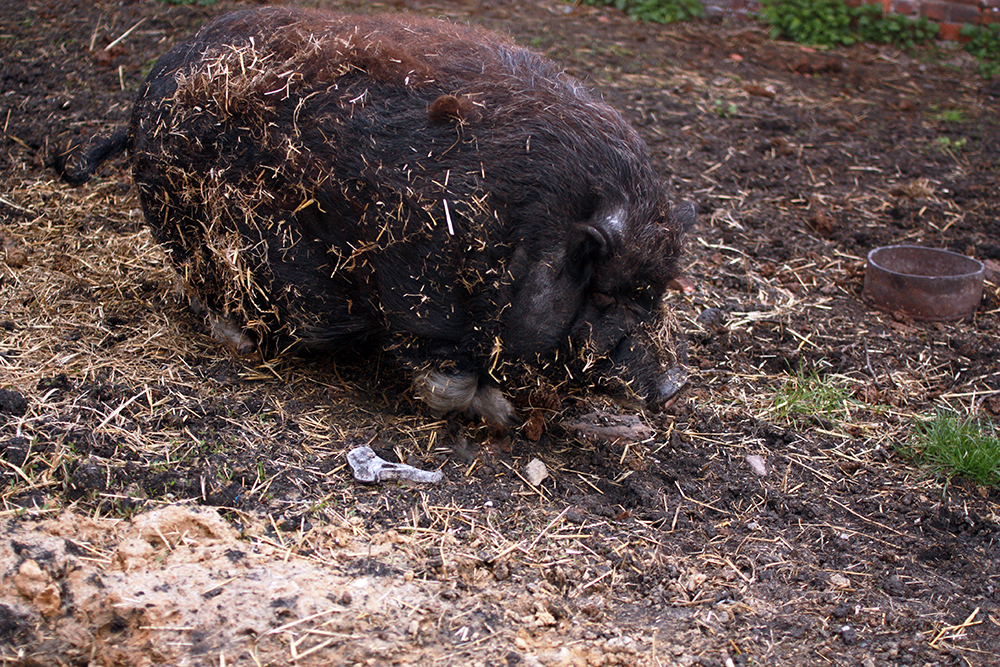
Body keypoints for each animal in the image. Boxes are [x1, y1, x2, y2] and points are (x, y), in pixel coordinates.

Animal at [58, 7, 692, 428]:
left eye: (656, 292)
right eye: (604, 296)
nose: (672, 387)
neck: (529, 236)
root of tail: (141, 99)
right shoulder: (417, 293)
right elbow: (442, 377)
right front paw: (505, 415)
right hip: (189, 229)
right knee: (201, 289)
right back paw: (242, 341)